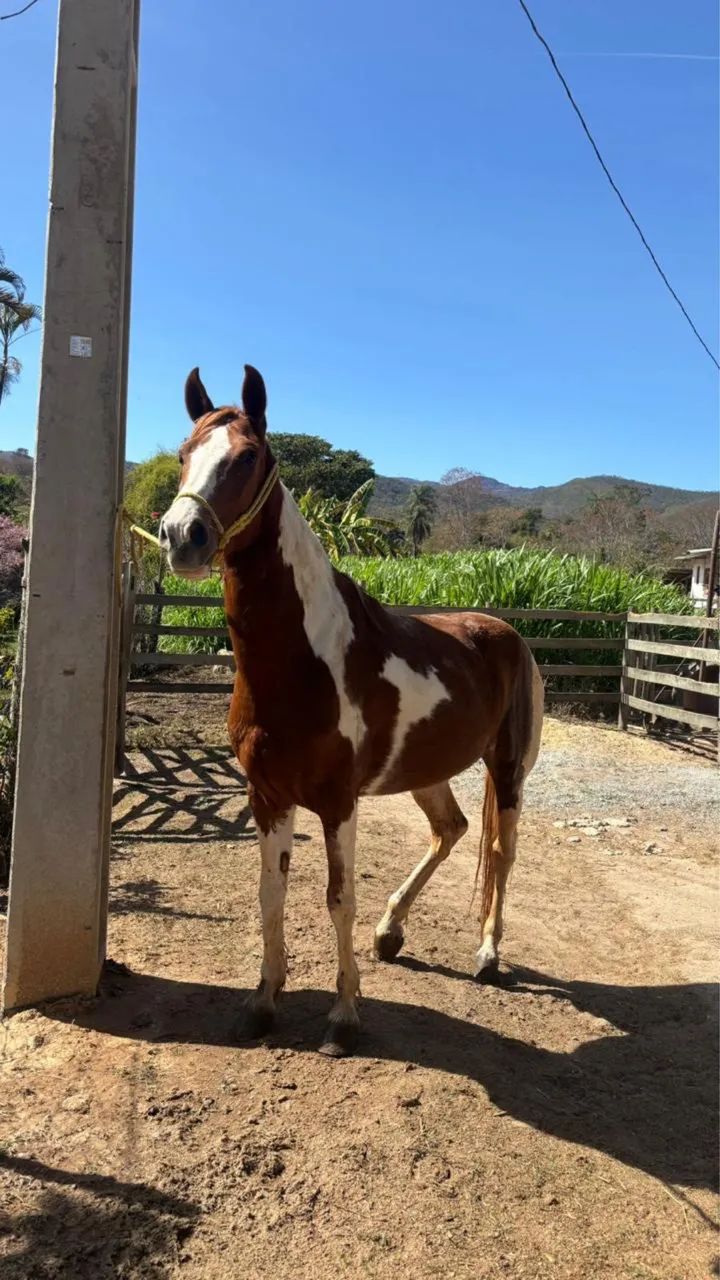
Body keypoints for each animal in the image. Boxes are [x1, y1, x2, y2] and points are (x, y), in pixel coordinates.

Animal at [159, 364, 544, 1057]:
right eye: (183, 454)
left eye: (247, 456)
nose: (182, 537)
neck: (305, 659)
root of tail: (508, 636)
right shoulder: (267, 796)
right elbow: (270, 896)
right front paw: (262, 1003)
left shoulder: (338, 802)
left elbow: (338, 899)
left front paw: (343, 1017)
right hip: (427, 772)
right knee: (450, 829)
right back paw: (392, 931)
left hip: (507, 773)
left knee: (502, 853)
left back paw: (488, 954)